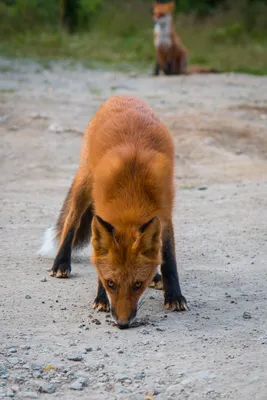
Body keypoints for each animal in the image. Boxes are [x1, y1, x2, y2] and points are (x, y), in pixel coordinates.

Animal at [39, 96, 187, 328]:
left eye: (137, 284)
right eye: (111, 283)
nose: (122, 323)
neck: (131, 192)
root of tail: (121, 96)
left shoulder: (164, 214)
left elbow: (169, 259)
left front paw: (174, 296)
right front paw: (101, 299)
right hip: (85, 183)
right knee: (71, 222)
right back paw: (61, 263)